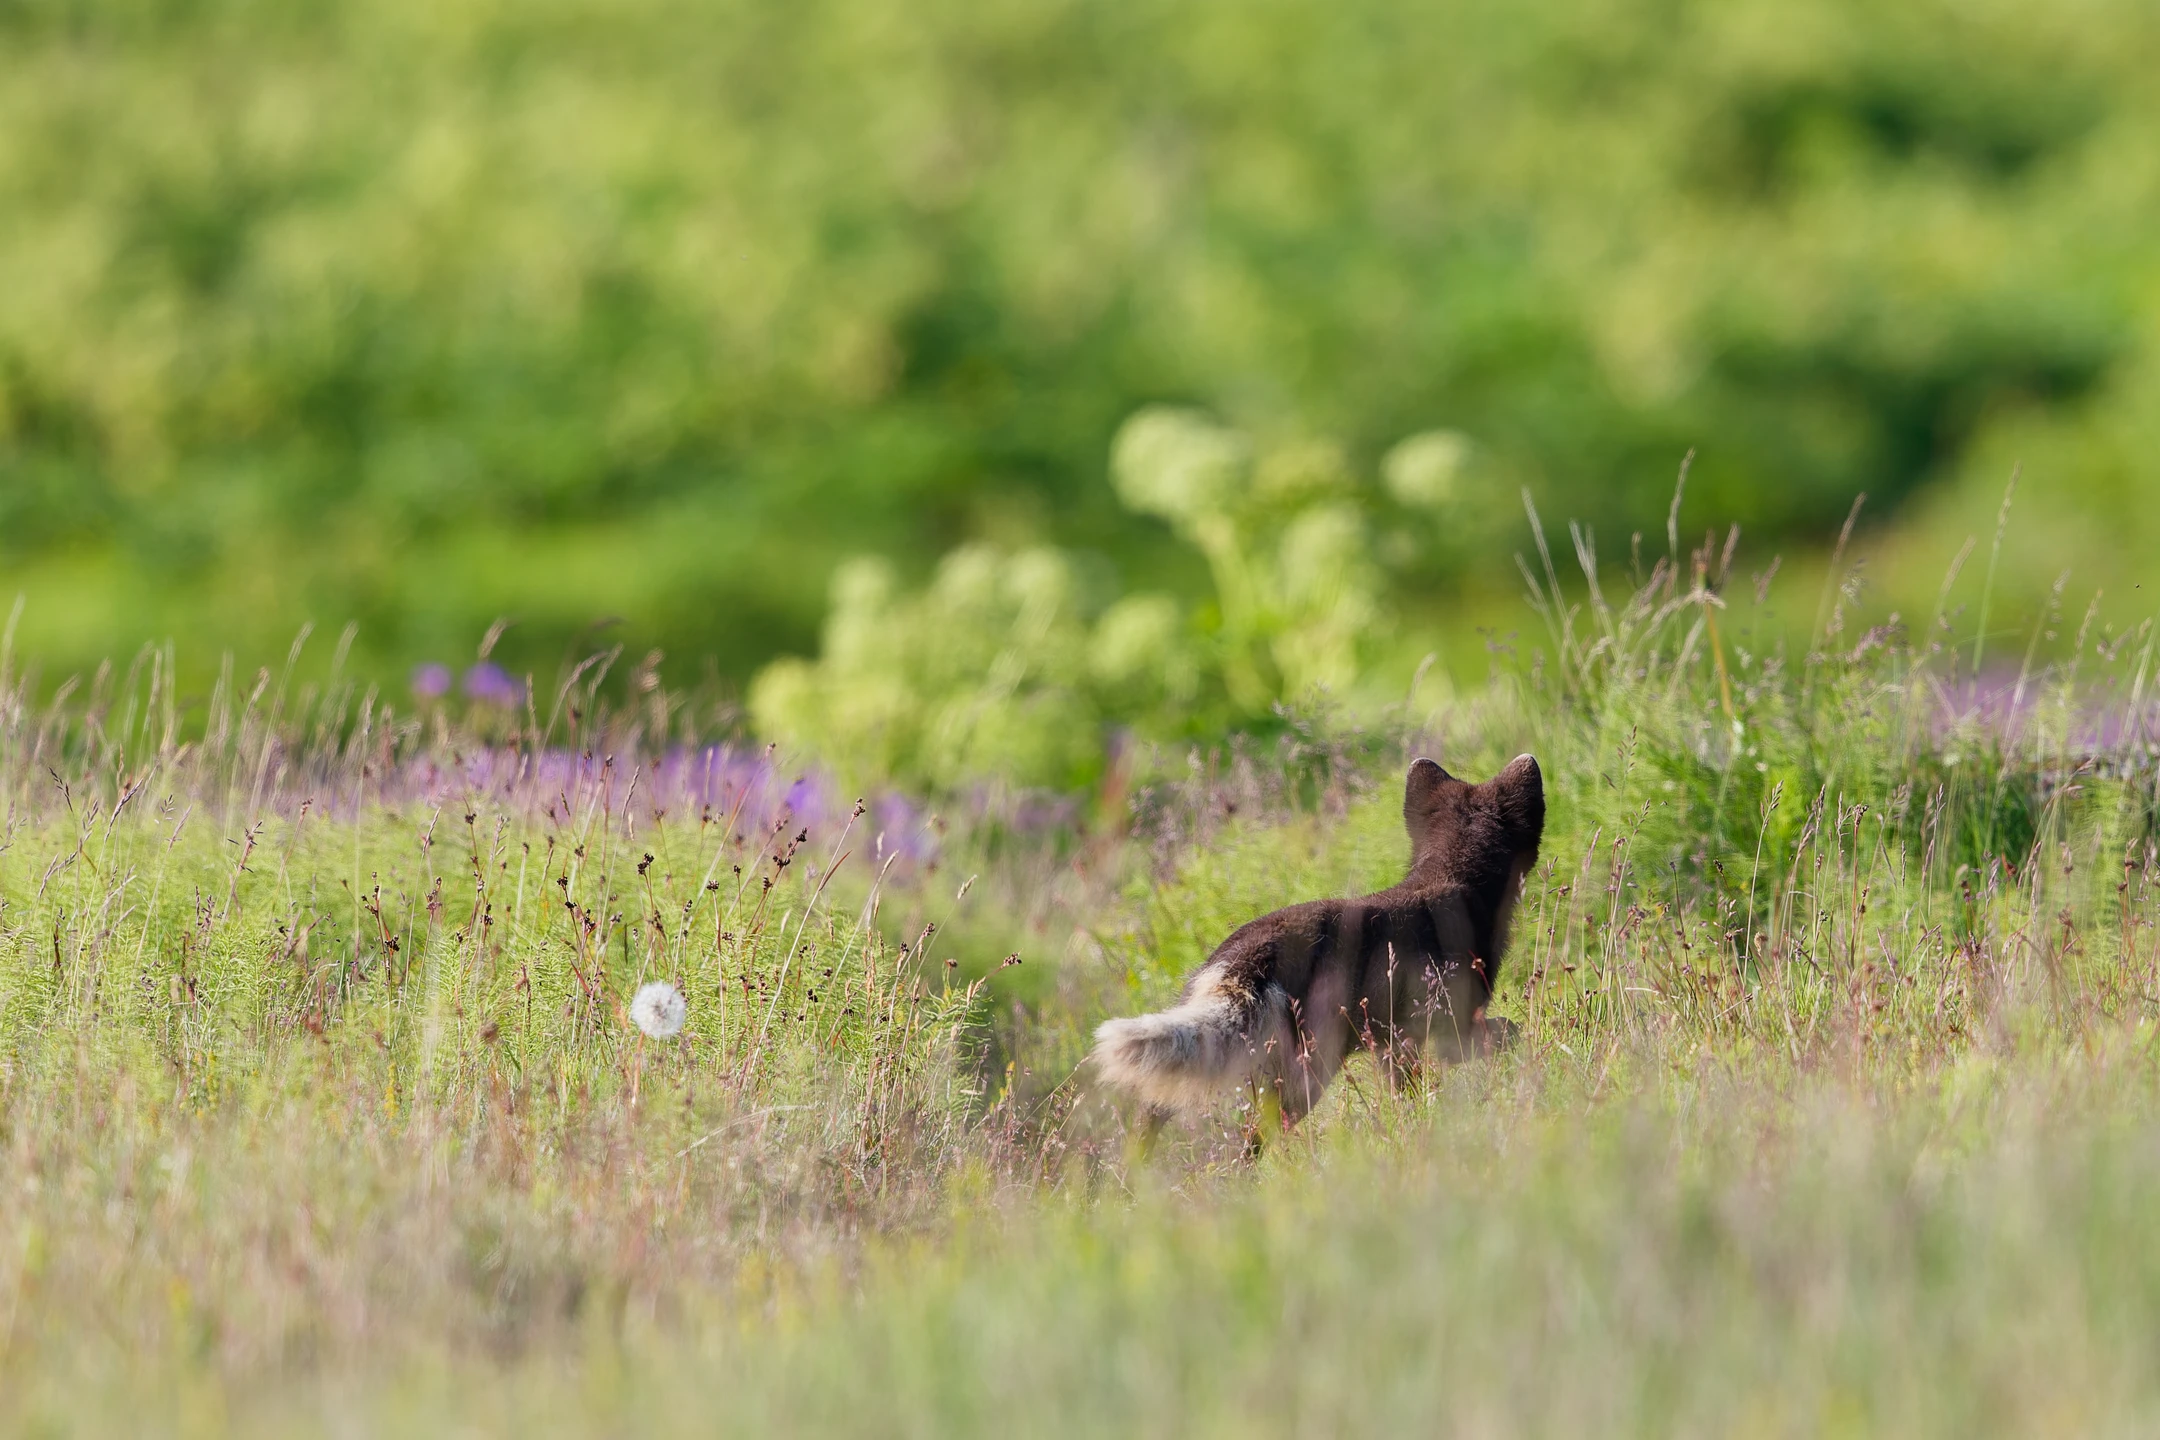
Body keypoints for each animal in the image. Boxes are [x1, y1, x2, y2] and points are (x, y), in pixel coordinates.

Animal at [1092, 754, 1545, 1128]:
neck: (1450, 876)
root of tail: (1244, 962)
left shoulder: (1393, 1041)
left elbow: (1406, 1088)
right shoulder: (1446, 1020)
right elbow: (1499, 1035)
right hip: (1305, 1069)